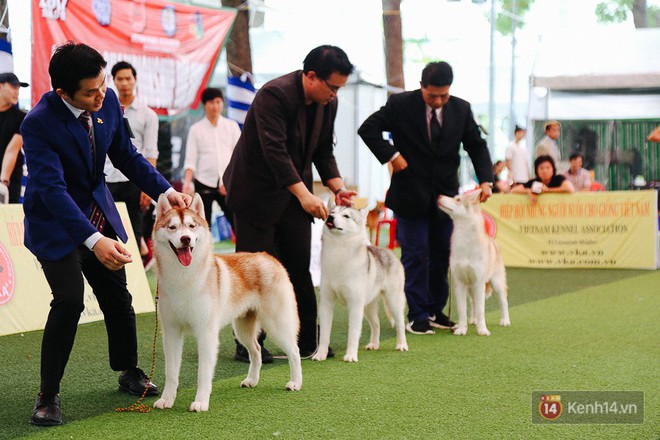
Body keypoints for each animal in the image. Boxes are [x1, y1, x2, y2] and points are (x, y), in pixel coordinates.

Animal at [151, 194, 302, 410]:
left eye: (191, 226)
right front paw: (167, 399)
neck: (183, 278)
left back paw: (295, 382)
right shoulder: (171, 332)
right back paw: (252, 380)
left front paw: (200, 402)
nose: (185, 239)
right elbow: (171, 373)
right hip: (242, 329)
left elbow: (203, 374)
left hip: (276, 324)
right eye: (172, 227)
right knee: (256, 351)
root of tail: (269, 257)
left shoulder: (206, 333)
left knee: (294, 351)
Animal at [312, 202, 410, 360]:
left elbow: (353, 333)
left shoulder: (355, 304)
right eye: (332, 212)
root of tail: (389, 252)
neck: (338, 251)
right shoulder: (326, 302)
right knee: (376, 323)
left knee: (400, 323)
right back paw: (374, 344)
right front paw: (321, 354)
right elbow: (324, 335)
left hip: (393, 300)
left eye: (346, 216)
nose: (330, 217)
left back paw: (402, 345)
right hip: (368, 305)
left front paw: (351, 355)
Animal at [438, 190, 510, 336]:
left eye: (458, 199)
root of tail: (493, 243)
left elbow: (482, 310)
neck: (465, 242)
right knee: (474, 303)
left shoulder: (479, 282)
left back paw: (505, 321)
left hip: (496, 282)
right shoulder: (460, 283)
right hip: (471, 288)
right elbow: (462, 310)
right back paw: (473, 320)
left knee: (503, 301)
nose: (439, 196)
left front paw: (482, 330)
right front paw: (461, 329)